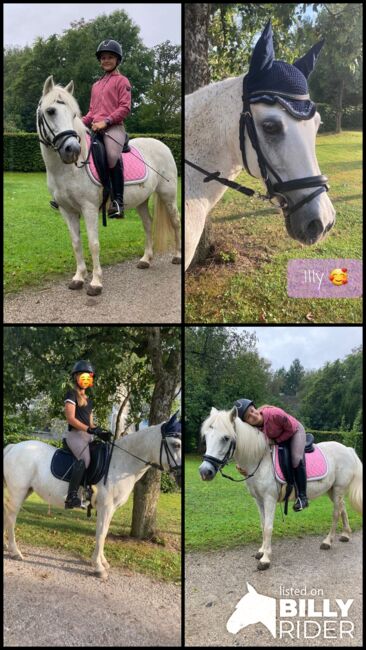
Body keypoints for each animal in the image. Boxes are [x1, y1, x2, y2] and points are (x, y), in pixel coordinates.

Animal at [2, 420, 180, 576]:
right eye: (176, 444)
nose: (179, 475)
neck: (121, 462)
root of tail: (13, 447)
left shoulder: (111, 509)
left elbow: (104, 532)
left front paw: (103, 562)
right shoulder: (105, 507)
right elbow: (101, 533)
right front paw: (98, 567)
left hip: (26, 491)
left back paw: (6, 546)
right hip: (18, 491)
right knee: (11, 518)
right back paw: (15, 551)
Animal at [36, 76, 180, 296]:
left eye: (74, 114)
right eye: (51, 111)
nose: (72, 149)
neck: (68, 170)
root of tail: (162, 145)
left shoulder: (89, 209)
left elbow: (93, 243)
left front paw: (96, 283)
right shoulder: (67, 211)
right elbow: (76, 243)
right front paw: (78, 278)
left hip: (168, 195)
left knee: (176, 222)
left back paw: (179, 256)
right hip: (142, 200)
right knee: (148, 224)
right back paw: (146, 259)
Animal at [199, 408, 362, 568]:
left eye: (226, 438)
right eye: (206, 437)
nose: (205, 472)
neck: (260, 459)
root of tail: (348, 449)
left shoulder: (269, 499)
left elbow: (268, 527)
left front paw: (265, 558)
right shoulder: (258, 500)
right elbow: (263, 524)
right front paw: (261, 551)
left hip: (338, 489)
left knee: (335, 513)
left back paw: (327, 541)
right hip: (332, 490)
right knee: (342, 508)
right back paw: (345, 534)